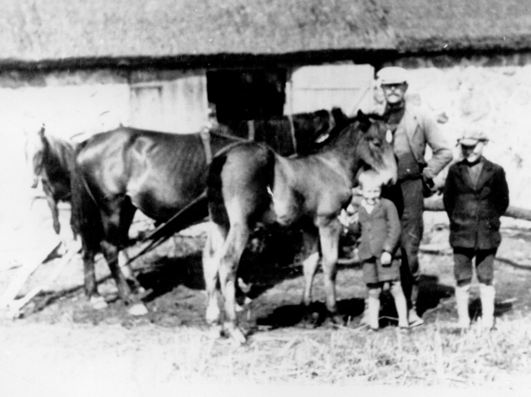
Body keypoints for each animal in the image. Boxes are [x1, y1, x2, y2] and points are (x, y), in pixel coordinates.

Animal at [70, 108, 342, 306]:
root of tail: (88, 141)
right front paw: (237, 295)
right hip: (112, 206)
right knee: (109, 248)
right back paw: (129, 299)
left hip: (122, 208)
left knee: (97, 247)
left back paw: (102, 293)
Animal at [204, 110, 400, 342]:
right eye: (376, 142)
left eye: (392, 140)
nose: (391, 179)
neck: (332, 165)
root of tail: (223, 157)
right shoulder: (329, 222)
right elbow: (330, 265)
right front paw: (335, 315)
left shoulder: (309, 227)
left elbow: (310, 265)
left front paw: (308, 314)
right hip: (241, 224)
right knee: (227, 261)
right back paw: (234, 329)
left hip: (219, 222)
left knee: (210, 261)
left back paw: (214, 324)